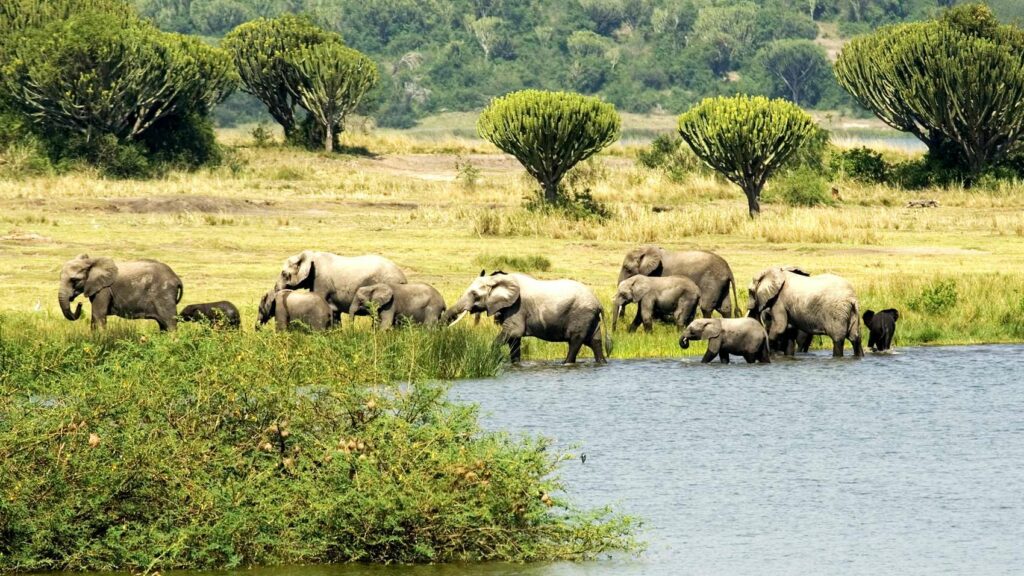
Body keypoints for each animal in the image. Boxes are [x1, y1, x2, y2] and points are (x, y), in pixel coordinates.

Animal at [446, 270, 606, 362]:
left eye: (474, 294)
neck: (498, 280)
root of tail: (598, 303)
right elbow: (514, 341)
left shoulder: (517, 307)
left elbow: (513, 332)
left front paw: (493, 358)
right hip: (589, 317)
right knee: (595, 342)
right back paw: (601, 363)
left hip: (581, 314)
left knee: (575, 341)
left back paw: (566, 363)